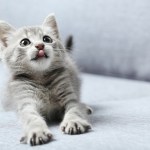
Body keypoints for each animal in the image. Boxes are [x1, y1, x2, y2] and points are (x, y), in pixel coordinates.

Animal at [0, 13, 91, 146]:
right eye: (24, 42)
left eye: (46, 39)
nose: (40, 45)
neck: (41, 78)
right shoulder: (26, 102)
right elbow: (31, 117)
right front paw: (37, 131)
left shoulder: (69, 94)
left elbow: (75, 108)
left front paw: (74, 121)